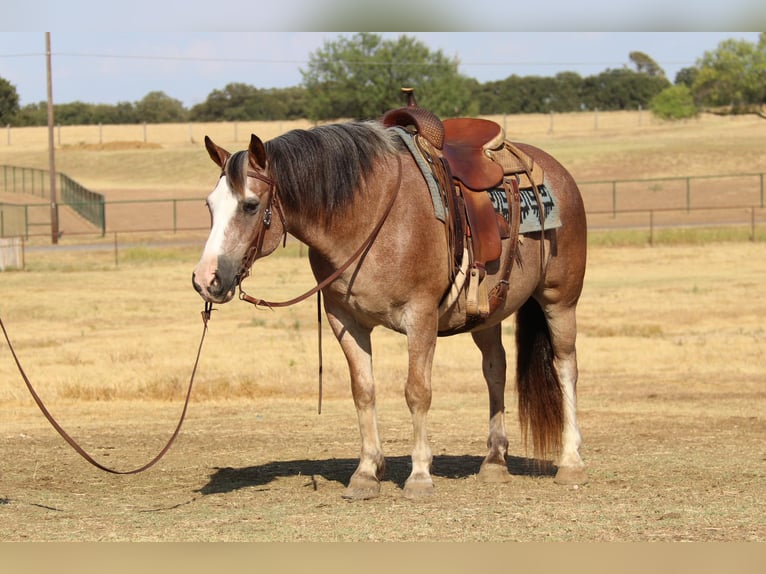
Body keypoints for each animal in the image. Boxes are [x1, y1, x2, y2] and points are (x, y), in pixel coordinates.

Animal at [192, 109, 588, 504]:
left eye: (250, 205)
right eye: (209, 205)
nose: (206, 279)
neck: (368, 215)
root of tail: (557, 171)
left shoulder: (421, 316)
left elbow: (417, 392)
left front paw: (420, 475)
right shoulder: (344, 320)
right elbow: (363, 391)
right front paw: (367, 472)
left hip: (560, 300)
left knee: (565, 366)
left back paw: (570, 461)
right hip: (487, 314)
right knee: (495, 369)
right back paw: (494, 461)